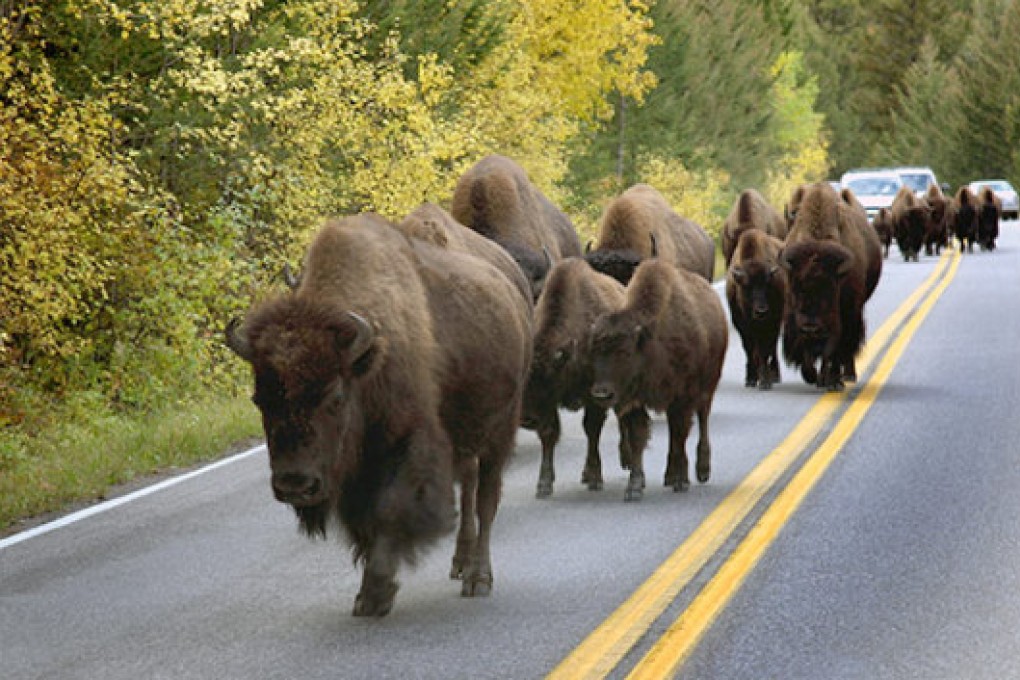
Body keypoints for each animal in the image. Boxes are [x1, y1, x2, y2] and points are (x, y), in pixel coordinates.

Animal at [226, 213, 532, 616]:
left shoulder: (409, 447)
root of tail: (512, 293)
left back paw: (478, 579)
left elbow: (390, 511)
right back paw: (462, 563)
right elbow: (365, 524)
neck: (368, 364)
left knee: (486, 500)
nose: (295, 484)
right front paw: (367, 596)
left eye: (335, 397)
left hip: (500, 431)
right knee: (469, 491)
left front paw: (377, 590)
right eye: (259, 400)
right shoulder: (355, 472)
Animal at [588, 259, 728, 500]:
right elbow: (639, 437)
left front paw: (682, 481)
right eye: (594, 352)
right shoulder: (635, 400)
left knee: (702, 421)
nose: (601, 394)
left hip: (708, 387)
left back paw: (700, 470)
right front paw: (634, 487)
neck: (650, 341)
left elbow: (680, 434)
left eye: (624, 352)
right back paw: (670, 475)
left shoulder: (683, 397)